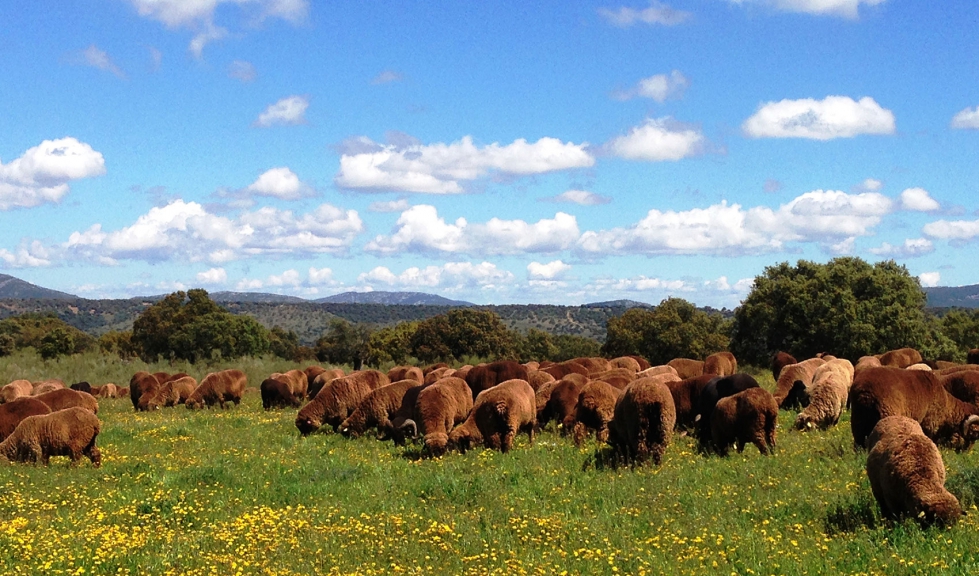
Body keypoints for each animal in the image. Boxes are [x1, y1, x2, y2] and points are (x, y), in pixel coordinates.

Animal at [848, 368, 979, 450]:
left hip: (858, 418)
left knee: (858, 442)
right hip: (886, 413)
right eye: (974, 433)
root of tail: (865, 392)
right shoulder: (929, 424)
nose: (965, 453)